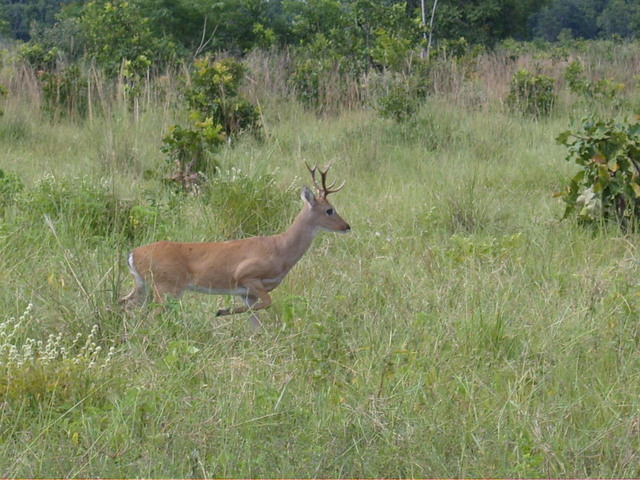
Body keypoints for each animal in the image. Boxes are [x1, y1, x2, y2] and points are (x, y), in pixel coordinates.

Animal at [120, 164, 350, 330]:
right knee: (151, 315)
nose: (347, 226)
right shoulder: (247, 275)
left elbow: (256, 323)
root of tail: (133, 254)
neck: (281, 251)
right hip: (166, 286)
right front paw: (221, 311)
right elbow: (267, 302)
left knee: (125, 303)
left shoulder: (247, 293)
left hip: (143, 285)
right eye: (330, 210)